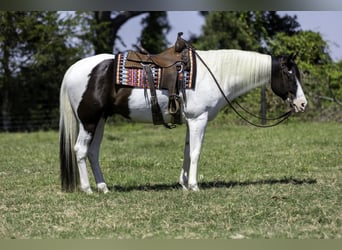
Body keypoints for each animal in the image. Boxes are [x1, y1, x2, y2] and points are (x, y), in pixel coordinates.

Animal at [58, 46, 308, 193]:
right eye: (289, 73)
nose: (302, 104)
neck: (215, 73)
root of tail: (72, 70)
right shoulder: (199, 119)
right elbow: (196, 152)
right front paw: (195, 187)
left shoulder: (191, 121)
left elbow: (187, 151)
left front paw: (184, 184)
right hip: (89, 120)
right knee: (80, 150)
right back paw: (88, 189)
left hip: (100, 120)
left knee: (92, 152)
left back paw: (103, 187)